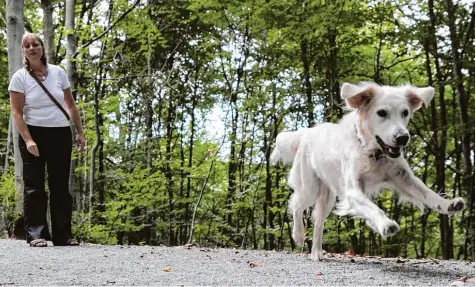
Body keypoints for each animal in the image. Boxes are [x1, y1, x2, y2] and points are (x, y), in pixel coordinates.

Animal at [272, 82, 464, 260]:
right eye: (382, 113)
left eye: (405, 112)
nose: (403, 138)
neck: (373, 152)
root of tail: (307, 131)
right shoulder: (353, 190)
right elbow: (374, 209)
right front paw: (385, 224)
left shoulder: (403, 177)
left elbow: (427, 193)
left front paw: (448, 204)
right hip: (310, 188)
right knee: (296, 205)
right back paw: (298, 235)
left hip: (327, 198)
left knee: (318, 222)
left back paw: (316, 252)